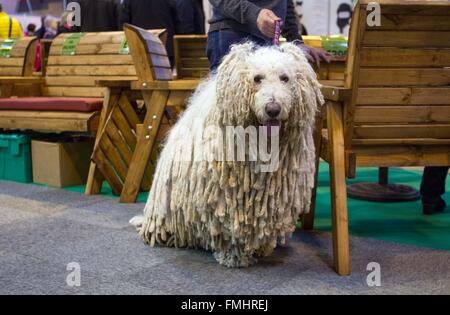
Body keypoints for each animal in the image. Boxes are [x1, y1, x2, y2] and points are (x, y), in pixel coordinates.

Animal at [130, 42, 324, 268]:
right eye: (257, 78)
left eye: (285, 78)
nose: (273, 109)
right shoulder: (224, 196)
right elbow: (228, 226)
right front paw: (234, 256)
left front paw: (260, 249)